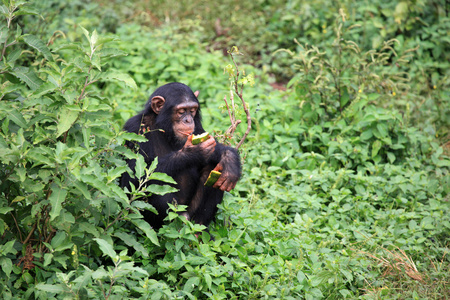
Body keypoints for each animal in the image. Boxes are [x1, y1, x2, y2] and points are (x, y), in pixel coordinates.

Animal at [118, 82, 241, 230]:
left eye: (192, 110)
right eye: (181, 111)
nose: (188, 120)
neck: (165, 129)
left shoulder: (197, 127)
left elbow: (215, 149)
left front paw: (230, 162)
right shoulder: (134, 130)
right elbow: (131, 182)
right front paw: (193, 152)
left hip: (190, 213)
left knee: (214, 169)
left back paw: (199, 231)